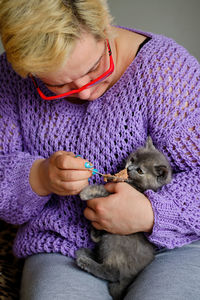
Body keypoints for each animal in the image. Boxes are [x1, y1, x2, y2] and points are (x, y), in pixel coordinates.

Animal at [75, 137, 172, 298]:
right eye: (132, 159)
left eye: (140, 171)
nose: (129, 168)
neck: (135, 185)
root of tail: (131, 275)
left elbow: (103, 191)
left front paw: (87, 192)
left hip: (114, 241)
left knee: (113, 272)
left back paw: (85, 261)